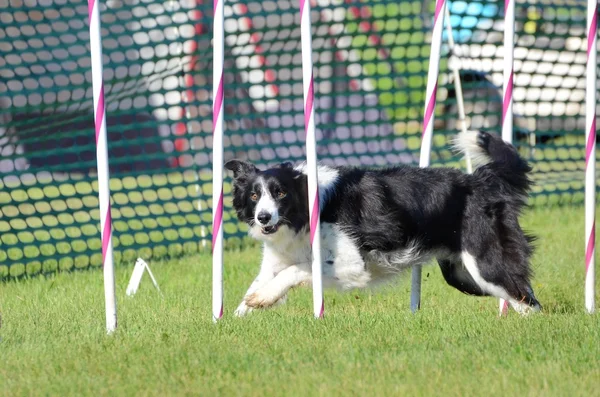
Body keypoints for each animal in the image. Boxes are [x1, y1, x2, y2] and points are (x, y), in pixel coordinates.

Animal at [223, 131, 540, 316]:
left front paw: (263, 298)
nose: (264, 218)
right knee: (521, 297)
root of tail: (481, 180)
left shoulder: (354, 265)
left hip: (484, 263)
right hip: (463, 275)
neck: (307, 211)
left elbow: (298, 270)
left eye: (281, 193)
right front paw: (237, 318)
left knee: (527, 299)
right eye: (254, 195)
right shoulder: (276, 258)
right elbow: (258, 284)